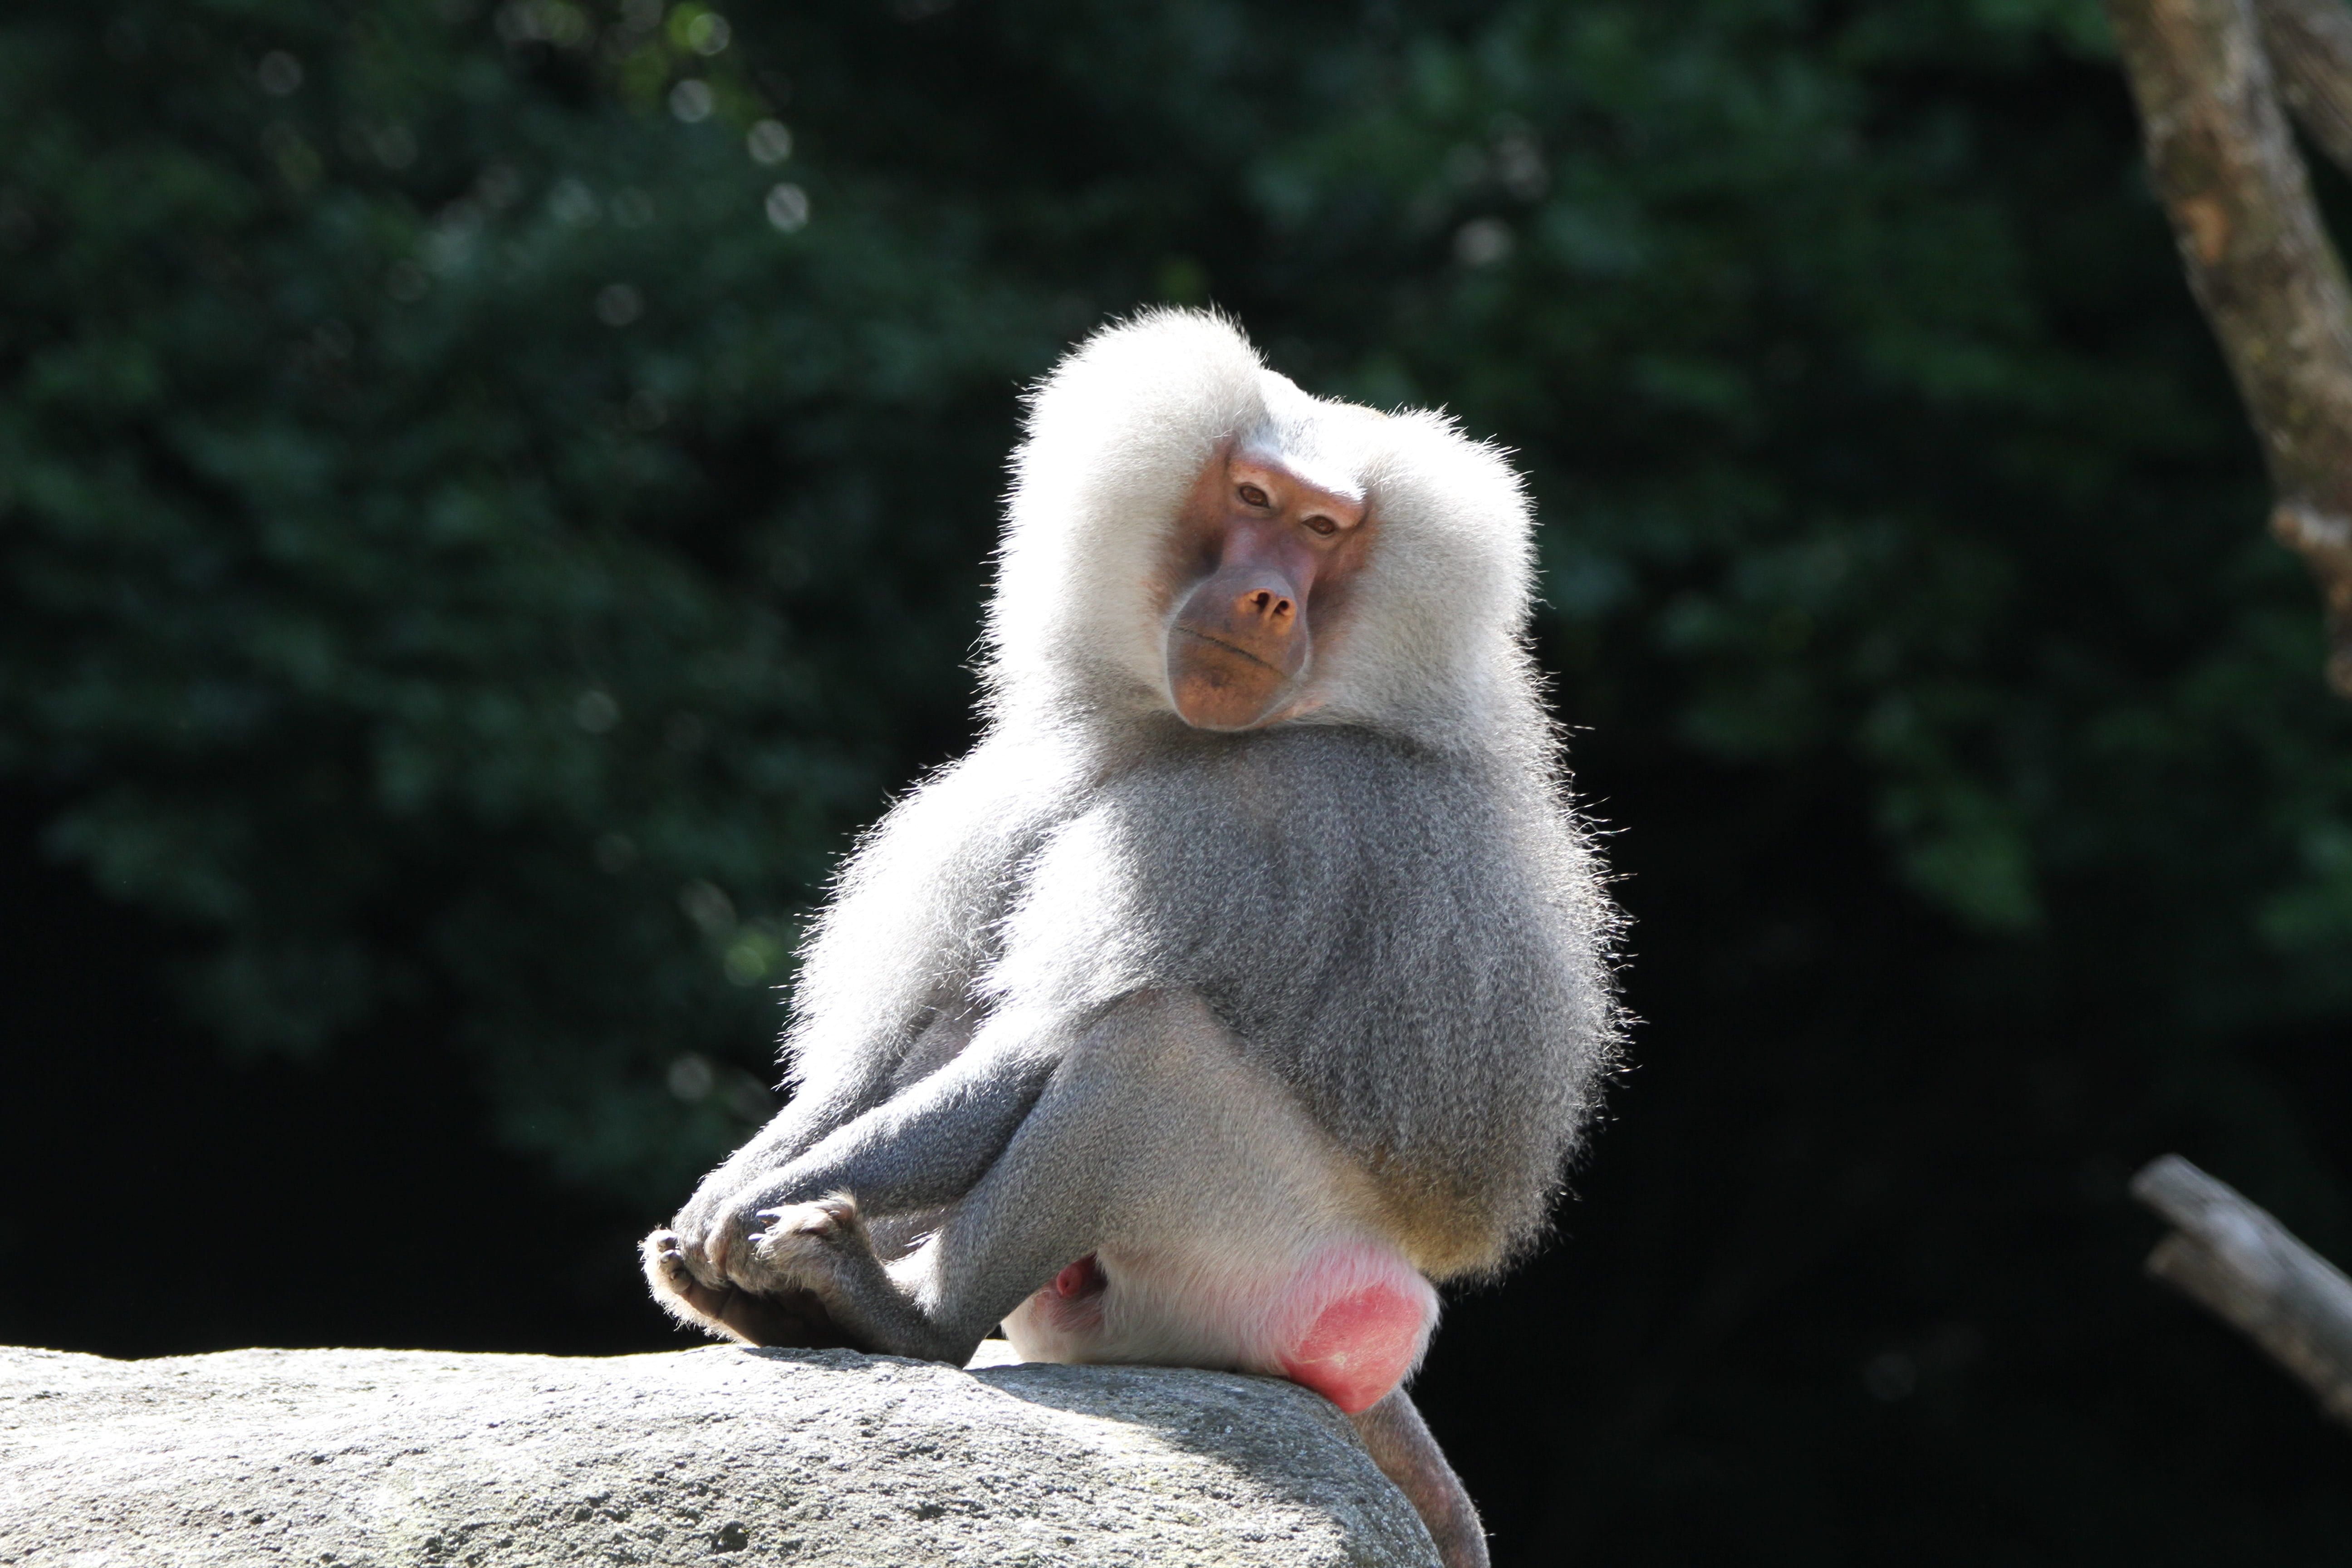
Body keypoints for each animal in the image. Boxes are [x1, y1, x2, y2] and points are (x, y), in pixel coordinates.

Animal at [642, 308, 1622, 1568]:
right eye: (1253, 498)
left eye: (1322, 529)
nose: (1266, 601)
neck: (1177, 734)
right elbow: (896, 1045)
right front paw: (733, 1185)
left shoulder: (1250, 825)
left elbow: (1038, 1045)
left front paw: (743, 1210)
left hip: (1263, 1263)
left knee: (1146, 1049)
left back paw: (895, 1311)